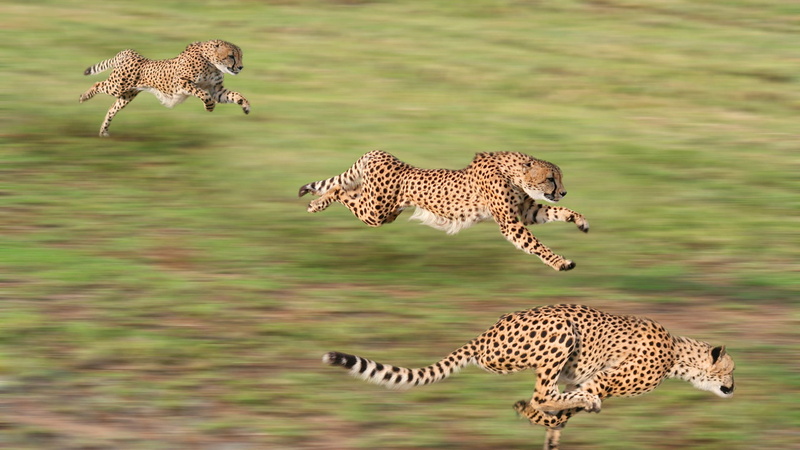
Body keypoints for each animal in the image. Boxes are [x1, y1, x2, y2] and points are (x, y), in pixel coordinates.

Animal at [79, 39, 250, 137]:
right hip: (117, 86)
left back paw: (103, 131)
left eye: (240, 56)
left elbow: (236, 94)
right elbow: (202, 93)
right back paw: (84, 97)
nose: (241, 67)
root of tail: (130, 52)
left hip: (126, 95)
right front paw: (209, 107)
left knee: (111, 109)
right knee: (98, 84)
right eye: (231, 56)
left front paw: (246, 105)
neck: (211, 62)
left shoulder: (216, 90)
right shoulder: (181, 82)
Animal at [299, 150, 589, 272]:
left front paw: (580, 220)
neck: (513, 172)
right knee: (339, 190)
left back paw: (316, 201)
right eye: (551, 179)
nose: (563, 191)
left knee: (346, 189)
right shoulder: (510, 222)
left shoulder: (526, 211)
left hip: (381, 208)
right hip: (376, 212)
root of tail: (380, 153)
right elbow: (536, 245)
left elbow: (557, 211)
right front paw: (560, 262)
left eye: (558, 179)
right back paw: (316, 203)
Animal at [323, 304, 735, 450]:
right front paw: (544, 420)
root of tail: (486, 332)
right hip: (561, 331)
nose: (733, 388)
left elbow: (565, 411)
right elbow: (567, 403)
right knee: (541, 392)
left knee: (545, 394)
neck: (679, 353)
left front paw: (550, 436)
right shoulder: (601, 381)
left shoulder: (585, 380)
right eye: (731, 371)